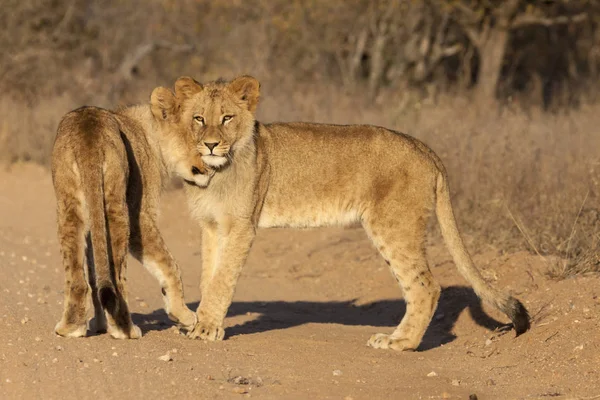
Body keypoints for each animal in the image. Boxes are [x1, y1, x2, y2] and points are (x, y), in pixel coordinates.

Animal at [51, 86, 214, 340]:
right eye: (199, 140)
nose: (211, 170)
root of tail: (88, 134)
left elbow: (95, 271)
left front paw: (98, 324)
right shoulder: (140, 216)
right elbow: (170, 265)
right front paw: (184, 315)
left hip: (70, 204)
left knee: (78, 277)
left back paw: (70, 328)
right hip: (118, 207)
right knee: (117, 280)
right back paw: (125, 329)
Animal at [171, 74, 532, 350]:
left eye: (227, 118)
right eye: (199, 118)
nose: (211, 145)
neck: (215, 172)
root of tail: (422, 146)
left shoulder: (242, 226)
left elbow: (222, 279)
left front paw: (206, 329)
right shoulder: (212, 226)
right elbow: (209, 276)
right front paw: (199, 323)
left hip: (392, 225)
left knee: (426, 286)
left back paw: (399, 343)